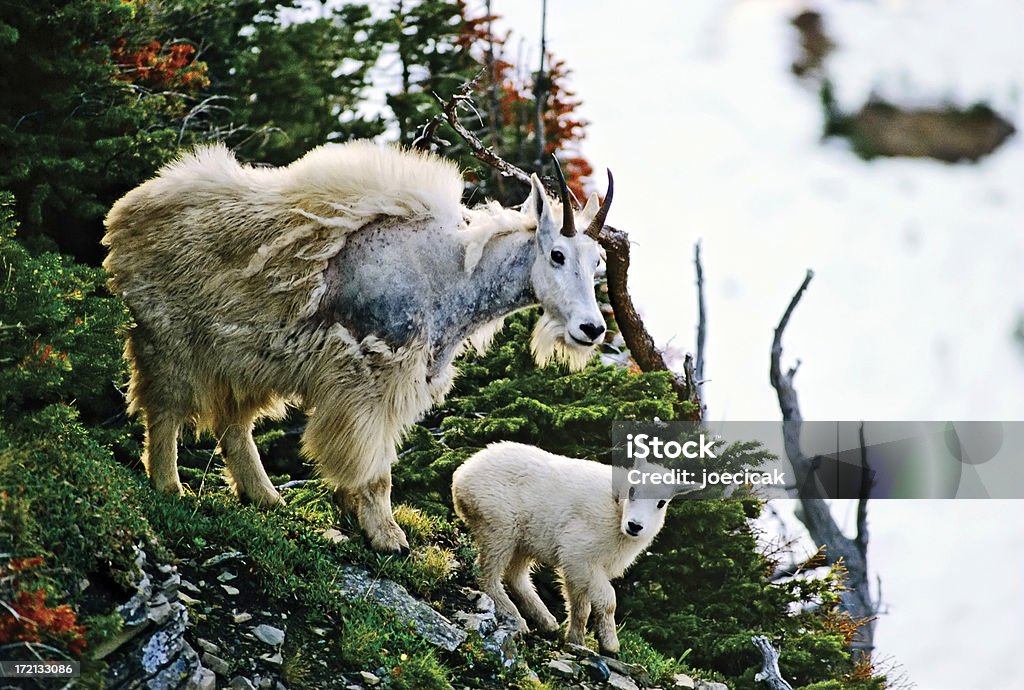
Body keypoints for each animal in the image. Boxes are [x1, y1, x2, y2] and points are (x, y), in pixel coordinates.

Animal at [452, 438, 667, 651]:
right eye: (633, 490)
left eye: (661, 502)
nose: (635, 525)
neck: (616, 509)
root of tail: (462, 475)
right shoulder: (578, 554)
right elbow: (608, 600)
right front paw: (610, 645)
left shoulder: (578, 567)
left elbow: (581, 606)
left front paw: (575, 640)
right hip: (498, 525)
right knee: (487, 574)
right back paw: (517, 620)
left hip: (524, 540)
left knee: (515, 576)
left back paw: (547, 621)